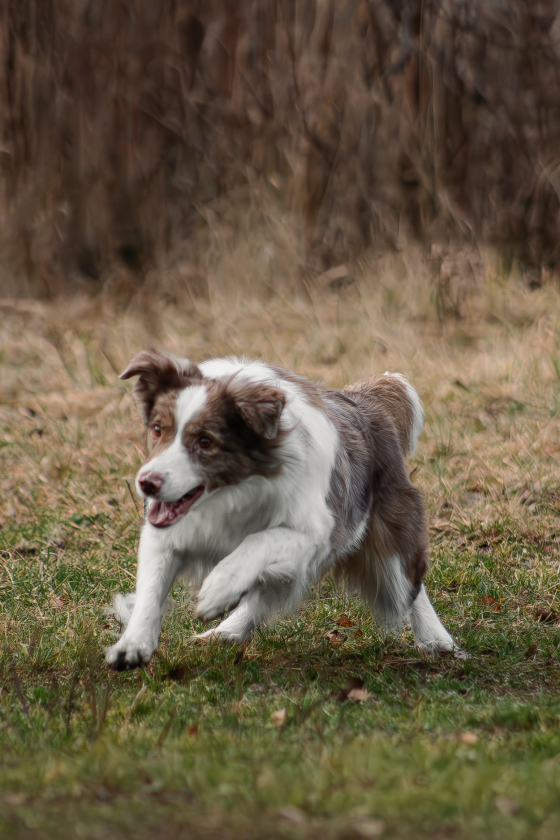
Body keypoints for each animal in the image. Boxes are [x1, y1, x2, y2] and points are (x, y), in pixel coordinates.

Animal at [106, 350, 457, 670]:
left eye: (205, 441)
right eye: (157, 429)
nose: (146, 483)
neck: (231, 492)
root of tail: (363, 402)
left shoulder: (320, 530)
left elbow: (260, 540)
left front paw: (217, 590)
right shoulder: (168, 532)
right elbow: (152, 589)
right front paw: (132, 646)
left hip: (389, 528)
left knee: (408, 584)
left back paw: (436, 639)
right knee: (265, 596)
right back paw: (226, 632)